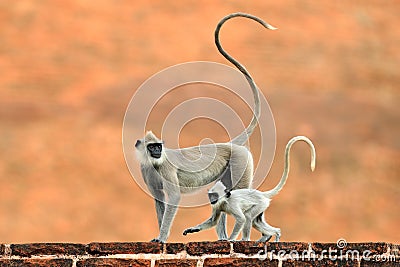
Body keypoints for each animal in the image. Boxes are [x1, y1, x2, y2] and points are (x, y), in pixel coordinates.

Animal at [134, 13, 278, 243]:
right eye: (151, 147)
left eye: (158, 146)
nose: (156, 151)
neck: (154, 162)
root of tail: (229, 144)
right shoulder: (146, 171)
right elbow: (159, 200)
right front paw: (159, 235)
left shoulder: (165, 169)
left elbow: (173, 197)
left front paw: (162, 238)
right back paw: (224, 237)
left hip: (241, 161)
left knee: (238, 193)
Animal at [183, 136, 318, 243]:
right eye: (211, 196)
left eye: (215, 195)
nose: (212, 200)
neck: (225, 201)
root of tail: (261, 194)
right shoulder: (217, 206)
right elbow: (212, 221)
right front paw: (192, 229)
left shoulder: (232, 204)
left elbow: (241, 219)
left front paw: (230, 239)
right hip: (262, 207)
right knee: (255, 222)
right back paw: (272, 234)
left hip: (260, 204)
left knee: (248, 217)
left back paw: (246, 239)